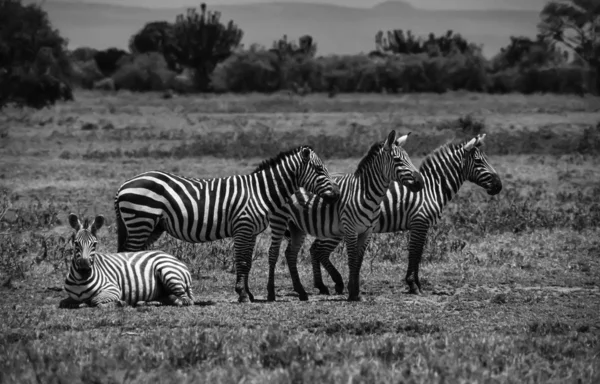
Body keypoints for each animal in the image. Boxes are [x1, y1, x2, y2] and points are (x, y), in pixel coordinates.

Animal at [59, 213, 193, 308]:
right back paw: (145, 302)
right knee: (168, 298)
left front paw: (119, 303)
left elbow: (95, 300)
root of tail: (176, 259)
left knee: (185, 300)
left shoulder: (112, 289)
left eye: (95, 244)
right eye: (76, 243)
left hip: (168, 272)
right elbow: (63, 302)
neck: (80, 281)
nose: (85, 267)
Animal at [114, 145, 340, 304]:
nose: (337, 195)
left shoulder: (252, 232)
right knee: (130, 253)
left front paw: (248, 293)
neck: (260, 192)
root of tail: (124, 184)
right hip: (141, 220)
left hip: (152, 226)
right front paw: (242, 294)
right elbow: (241, 261)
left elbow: (247, 262)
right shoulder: (243, 227)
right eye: (320, 170)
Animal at [264, 130, 424, 302]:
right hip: (279, 220)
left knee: (290, 254)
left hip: (296, 226)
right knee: (273, 252)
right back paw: (271, 293)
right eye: (398, 160)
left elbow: (359, 261)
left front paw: (357, 292)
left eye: (409, 158)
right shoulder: (351, 229)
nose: (420, 183)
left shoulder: (366, 232)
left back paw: (301, 292)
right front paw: (352, 293)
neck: (364, 193)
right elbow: (352, 260)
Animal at [304, 134, 502, 296]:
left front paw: (416, 284)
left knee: (316, 250)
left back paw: (327, 285)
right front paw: (413, 285)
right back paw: (330, 284)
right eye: (479, 162)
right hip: (333, 227)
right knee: (318, 250)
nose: (499, 186)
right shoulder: (419, 222)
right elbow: (415, 252)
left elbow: (417, 253)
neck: (432, 188)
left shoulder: (421, 225)